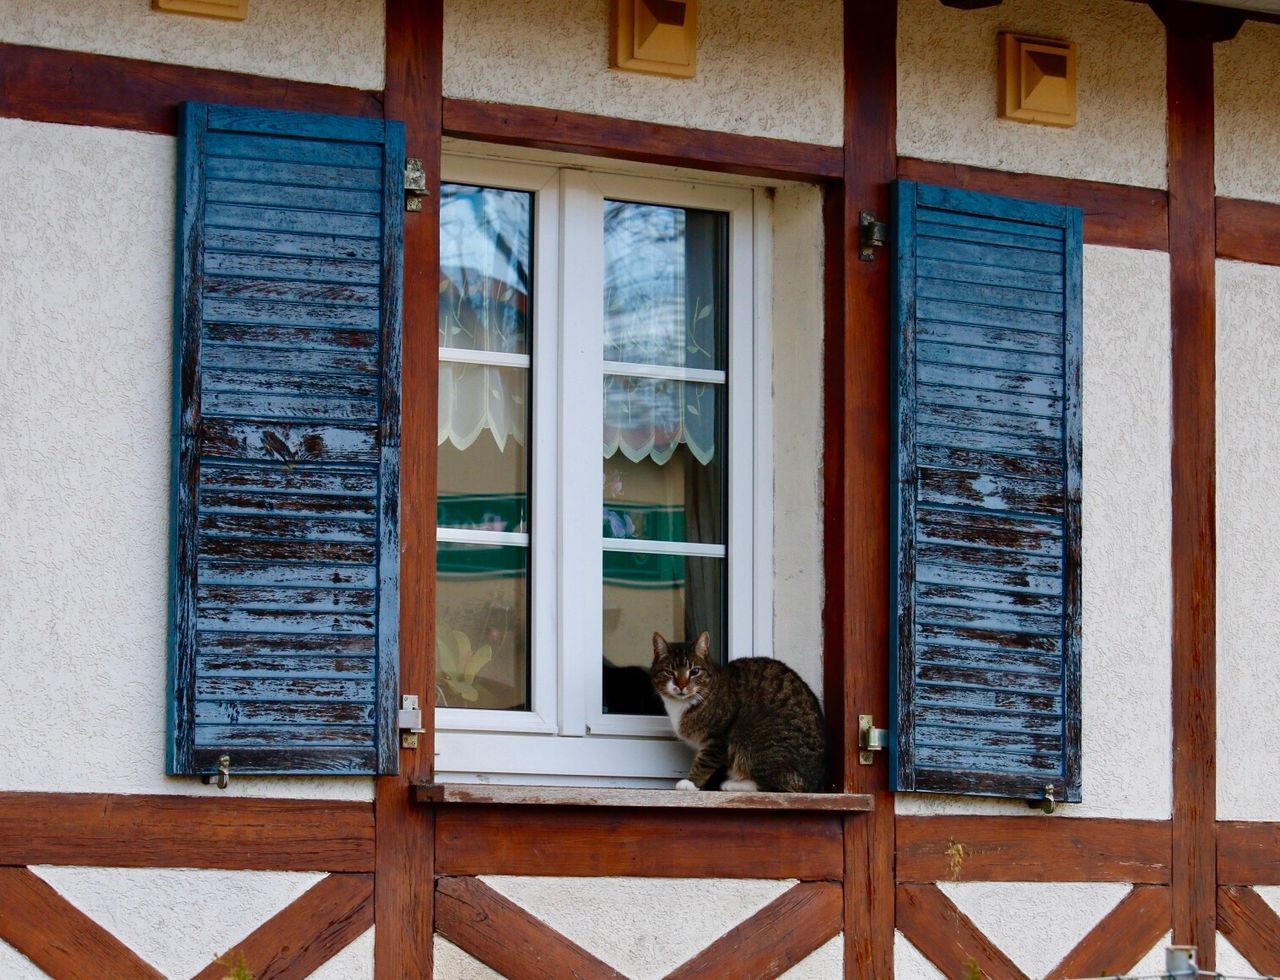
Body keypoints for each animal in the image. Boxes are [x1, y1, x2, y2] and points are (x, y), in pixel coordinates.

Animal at [650, 634, 829, 793]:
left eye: (694, 671)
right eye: (669, 672)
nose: (681, 685)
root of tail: (815, 783)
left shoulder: (718, 738)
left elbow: (704, 762)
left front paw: (691, 783)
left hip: (755, 741)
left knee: (776, 787)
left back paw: (733, 784)